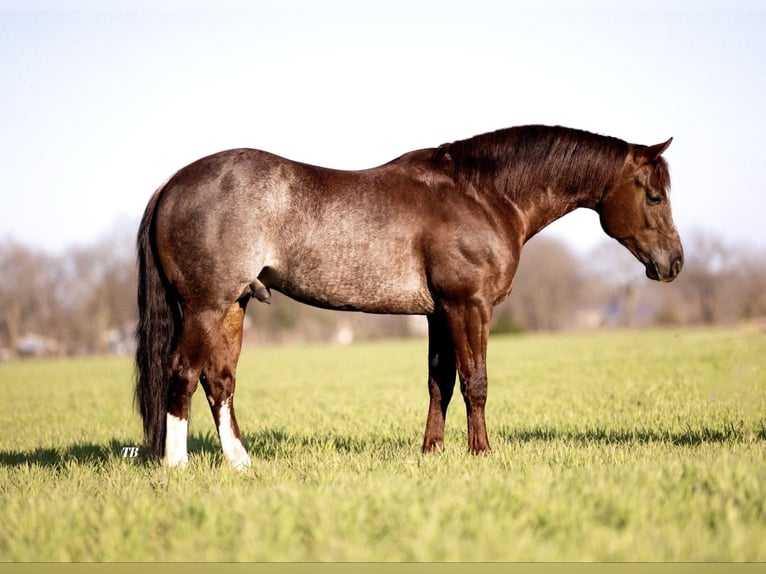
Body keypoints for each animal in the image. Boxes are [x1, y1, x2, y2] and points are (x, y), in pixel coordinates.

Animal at [135, 124, 688, 470]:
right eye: (655, 195)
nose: (674, 263)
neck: (481, 195)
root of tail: (172, 184)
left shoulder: (439, 313)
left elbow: (439, 383)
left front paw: (432, 452)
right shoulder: (469, 306)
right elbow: (475, 382)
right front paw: (482, 454)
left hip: (234, 304)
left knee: (220, 380)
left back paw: (242, 464)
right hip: (206, 306)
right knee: (182, 374)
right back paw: (177, 466)